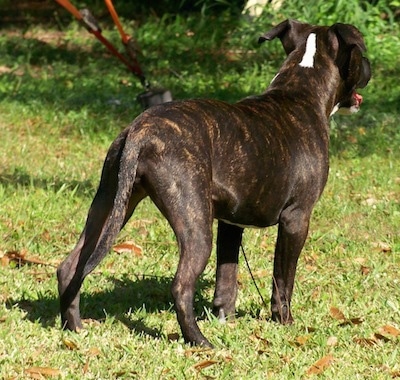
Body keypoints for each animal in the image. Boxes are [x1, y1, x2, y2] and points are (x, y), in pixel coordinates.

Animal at [57, 20, 372, 348]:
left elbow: (227, 277)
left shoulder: (231, 223)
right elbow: (282, 280)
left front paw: (226, 319)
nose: (370, 67)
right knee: (181, 284)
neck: (300, 91)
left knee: (70, 267)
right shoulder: (296, 219)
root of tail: (141, 131)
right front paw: (284, 322)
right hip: (193, 223)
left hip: (110, 204)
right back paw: (199, 341)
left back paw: (74, 327)